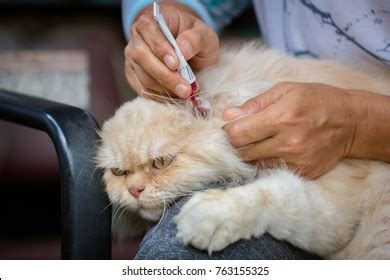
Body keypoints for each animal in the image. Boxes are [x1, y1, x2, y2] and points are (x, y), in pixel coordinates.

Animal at [96, 42, 390, 260]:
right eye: (118, 172)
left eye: (161, 163)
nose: (134, 191)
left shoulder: (336, 210)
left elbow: (269, 196)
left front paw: (204, 217)